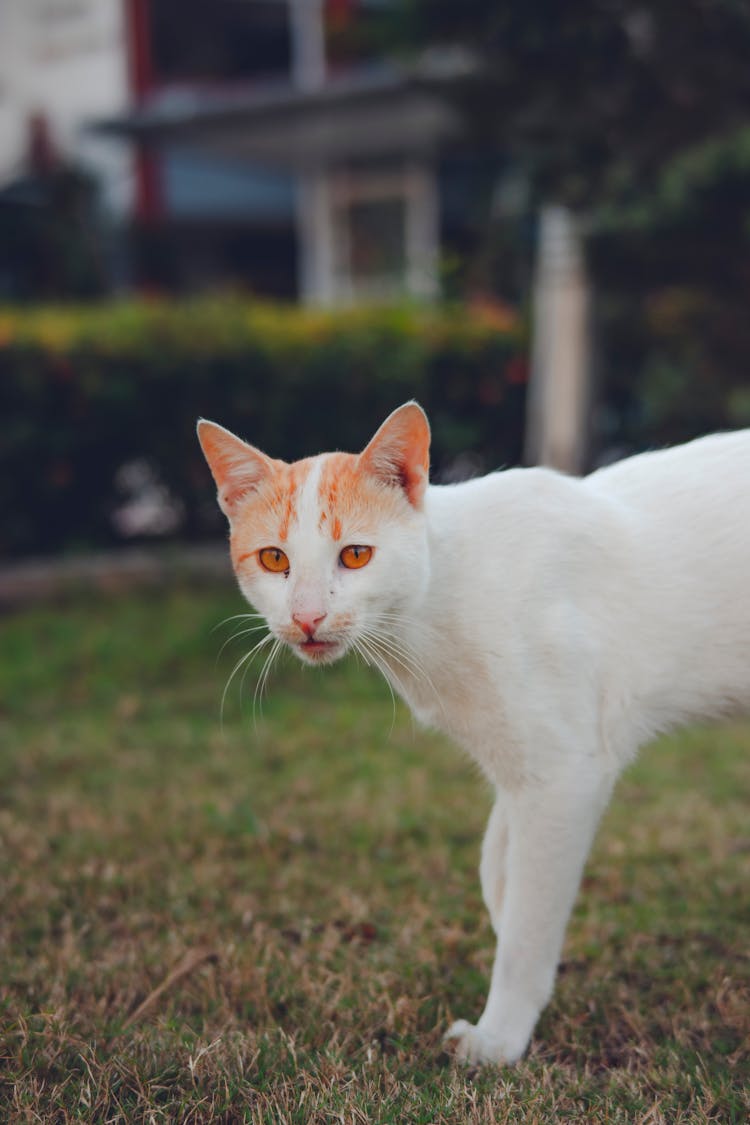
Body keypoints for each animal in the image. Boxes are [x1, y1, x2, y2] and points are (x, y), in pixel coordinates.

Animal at [196, 402, 746, 1062]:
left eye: (355, 556)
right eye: (274, 559)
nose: (306, 617)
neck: (441, 597)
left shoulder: (566, 776)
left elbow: (529, 924)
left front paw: (500, 1038)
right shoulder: (519, 771)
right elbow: (499, 871)